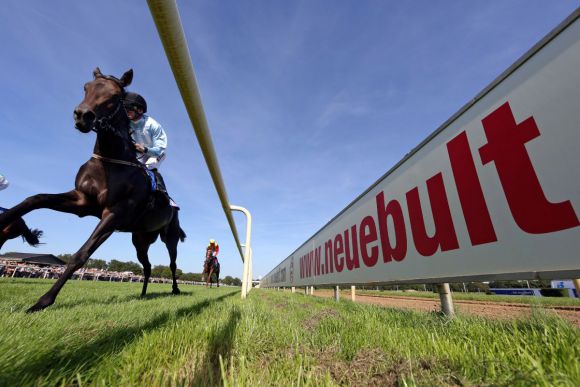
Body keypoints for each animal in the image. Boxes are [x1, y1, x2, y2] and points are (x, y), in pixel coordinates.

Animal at [0, 68, 185, 314]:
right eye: (86, 87)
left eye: (115, 95)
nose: (82, 115)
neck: (109, 161)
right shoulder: (82, 201)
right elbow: (35, 199)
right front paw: (4, 218)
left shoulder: (113, 214)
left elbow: (81, 254)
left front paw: (43, 301)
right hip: (140, 239)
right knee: (147, 266)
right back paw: (143, 294)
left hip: (169, 237)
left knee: (172, 263)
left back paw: (175, 289)